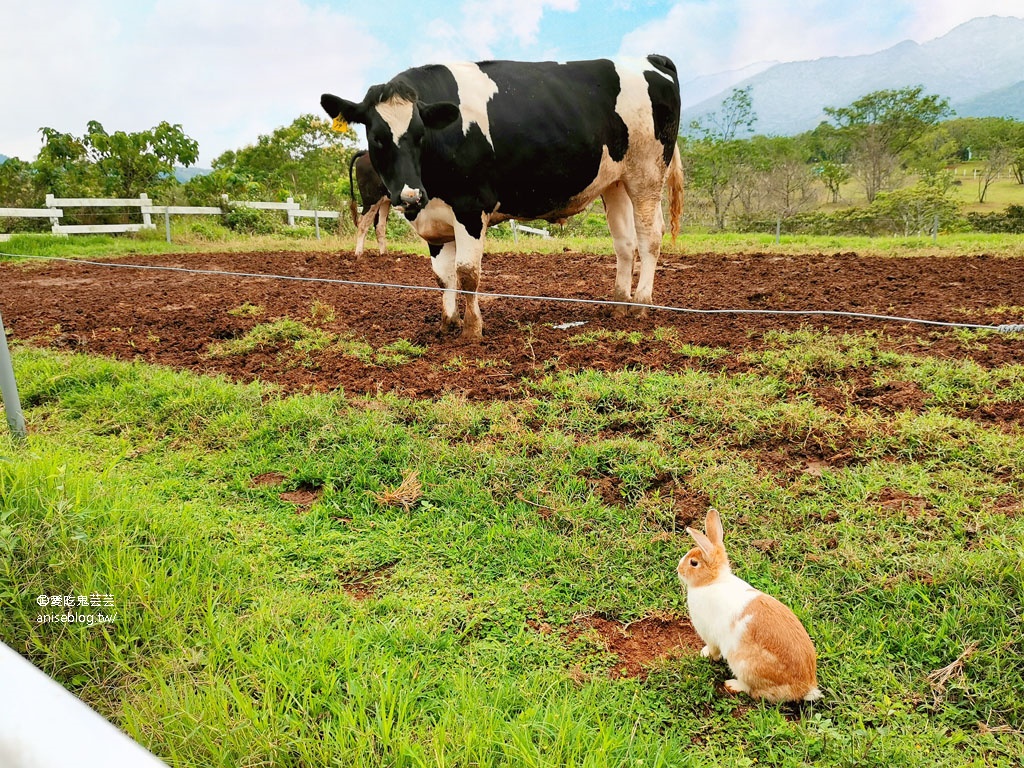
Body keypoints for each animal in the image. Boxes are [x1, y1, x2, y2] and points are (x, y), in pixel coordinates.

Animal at [323, 57, 684, 339]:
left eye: (419, 134)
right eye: (377, 137)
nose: (410, 195)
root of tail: (652, 59)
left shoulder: (471, 207)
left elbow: (467, 272)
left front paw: (472, 329)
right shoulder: (436, 219)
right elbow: (443, 275)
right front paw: (448, 323)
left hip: (647, 174)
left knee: (649, 238)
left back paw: (640, 304)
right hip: (615, 183)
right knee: (625, 243)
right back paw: (620, 304)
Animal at [679, 512, 823, 704]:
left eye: (693, 563)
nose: (678, 569)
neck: (712, 582)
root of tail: (804, 687)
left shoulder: (709, 634)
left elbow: (713, 649)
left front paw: (705, 654)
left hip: (744, 665)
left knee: (751, 689)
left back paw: (731, 684)